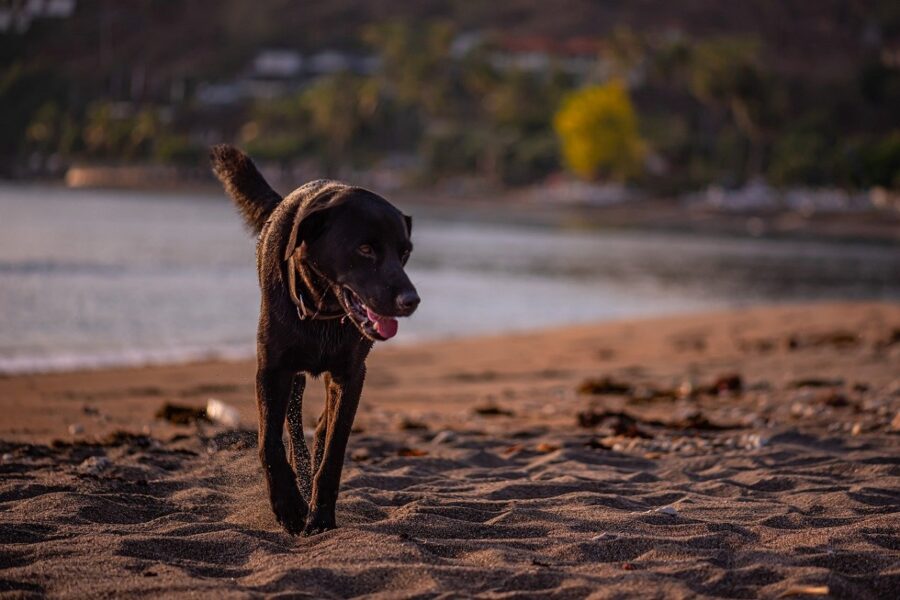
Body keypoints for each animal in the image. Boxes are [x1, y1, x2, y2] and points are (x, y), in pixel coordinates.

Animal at [212, 145, 422, 536]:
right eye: (366, 249)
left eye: (404, 253)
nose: (411, 300)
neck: (322, 308)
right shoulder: (273, 369)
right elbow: (270, 443)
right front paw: (289, 507)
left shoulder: (351, 376)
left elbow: (335, 447)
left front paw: (320, 516)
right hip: (292, 377)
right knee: (293, 428)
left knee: (322, 428)